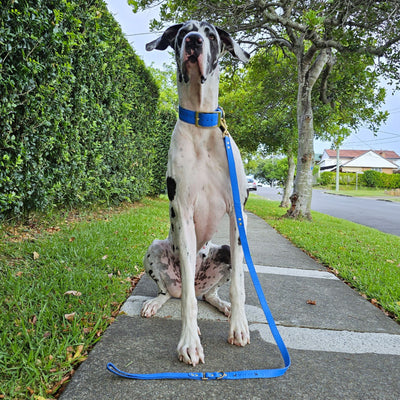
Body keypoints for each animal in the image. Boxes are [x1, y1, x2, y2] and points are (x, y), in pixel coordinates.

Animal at [141, 21, 250, 366]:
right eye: (181, 33)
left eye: (211, 34)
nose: (193, 41)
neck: (202, 124)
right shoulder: (184, 213)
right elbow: (188, 300)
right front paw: (189, 342)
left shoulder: (237, 216)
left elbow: (239, 287)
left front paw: (239, 326)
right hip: (155, 249)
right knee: (177, 292)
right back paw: (155, 303)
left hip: (225, 251)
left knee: (209, 294)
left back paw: (223, 306)